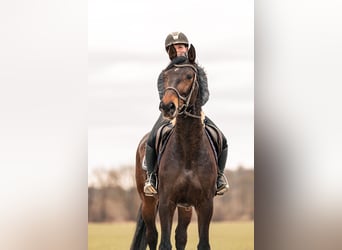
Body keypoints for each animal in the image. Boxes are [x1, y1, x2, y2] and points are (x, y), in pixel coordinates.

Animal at [131, 57, 216, 250]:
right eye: (165, 76)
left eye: (189, 76)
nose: (167, 106)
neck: (188, 151)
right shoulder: (166, 202)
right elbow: (164, 243)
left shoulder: (205, 204)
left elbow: (202, 243)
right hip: (148, 202)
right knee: (152, 235)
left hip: (185, 207)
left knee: (181, 236)